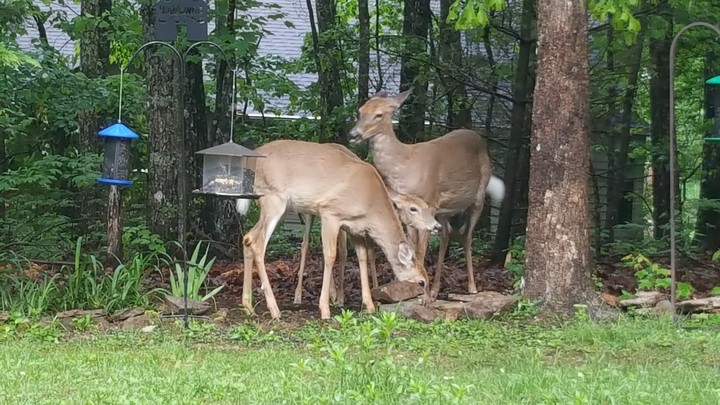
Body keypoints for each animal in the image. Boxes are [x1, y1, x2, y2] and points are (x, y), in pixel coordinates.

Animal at [235, 139, 430, 320]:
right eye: (421, 283)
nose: (426, 301)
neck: (371, 203)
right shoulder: (330, 213)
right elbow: (330, 256)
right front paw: (325, 308)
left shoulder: (355, 229)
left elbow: (362, 257)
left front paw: (369, 305)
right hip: (274, 199)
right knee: (258, 244)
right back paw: (275, 310)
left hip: (279, 206)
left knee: (248, 238)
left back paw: (249, 307)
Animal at [348, 89, 506, 299]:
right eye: (360, 110)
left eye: (379, 114)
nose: (353, 134)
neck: (405, 166)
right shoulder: (409, 213)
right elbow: (410, 248)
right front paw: (404, 287)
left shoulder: (428, 203)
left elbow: (420, 251)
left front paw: (421, 293)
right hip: (445, 210)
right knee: (447, 233)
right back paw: (436, 288)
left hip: (478, 195)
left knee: (466, 236)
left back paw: (471, 287)